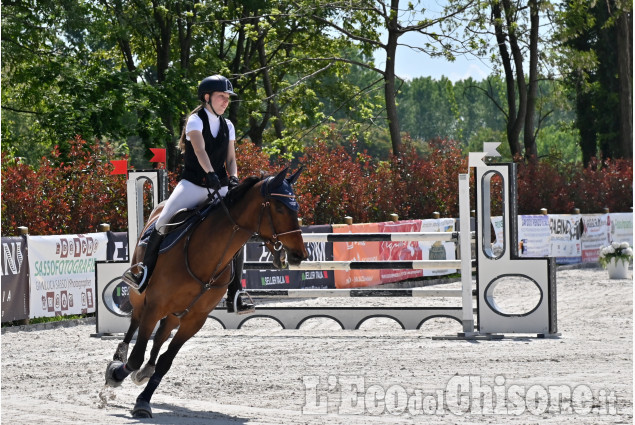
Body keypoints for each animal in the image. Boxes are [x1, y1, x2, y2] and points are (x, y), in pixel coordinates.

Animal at [104, 166, 308, 418]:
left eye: (295, 208)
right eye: (279, 208)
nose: (299, 255)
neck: (205, 255)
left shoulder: (195, 319)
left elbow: (165, 362)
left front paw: (143, 400)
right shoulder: (154, 306)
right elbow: (135, 357)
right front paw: (115, 374)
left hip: (177, 311)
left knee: (161, 334)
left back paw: (145, 371)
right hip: (142, 296)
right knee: (134, 322)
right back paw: (119, 355)